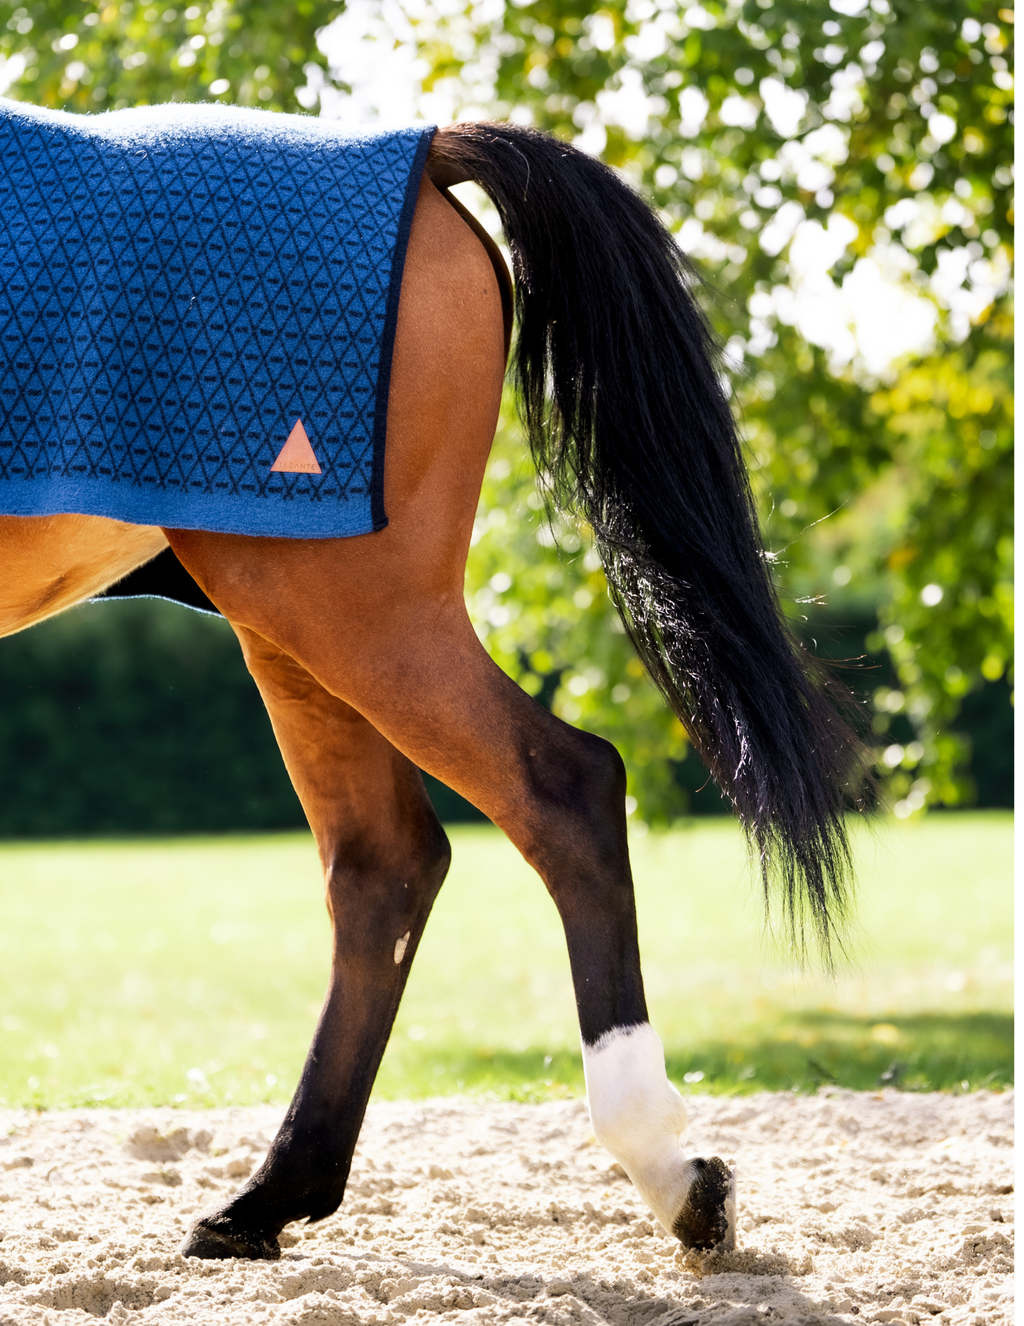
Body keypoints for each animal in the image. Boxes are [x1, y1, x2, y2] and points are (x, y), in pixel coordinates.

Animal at [0, 111, 864, 1262]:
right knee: (385, 866)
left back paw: (671, 1170)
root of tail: (422, 148)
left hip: (356, 614)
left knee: (559, 790)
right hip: (297, 634)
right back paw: (268, 1199)